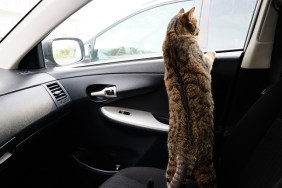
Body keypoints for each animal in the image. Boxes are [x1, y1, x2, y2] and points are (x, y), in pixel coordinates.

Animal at [163, 6, 216, 187]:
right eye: (195, 23)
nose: (199, 31)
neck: (173, 35)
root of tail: (185, 152)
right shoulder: (204, 61)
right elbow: (209, 56)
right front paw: (213, 51)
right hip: (206, 167)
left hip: (170, 164)